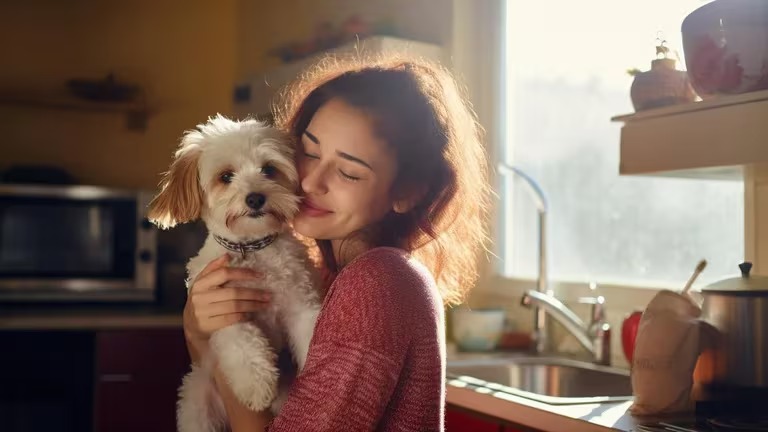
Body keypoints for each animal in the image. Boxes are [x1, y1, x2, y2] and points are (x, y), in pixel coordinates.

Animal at [150, 114, 320, 432]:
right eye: (226, 176)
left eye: (269, 169)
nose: (255, 199)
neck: (251, 249)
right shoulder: (223, 309)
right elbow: (244, 342)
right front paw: (257, 385)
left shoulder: (301, 304)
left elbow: (311, 333)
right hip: (198, 401)